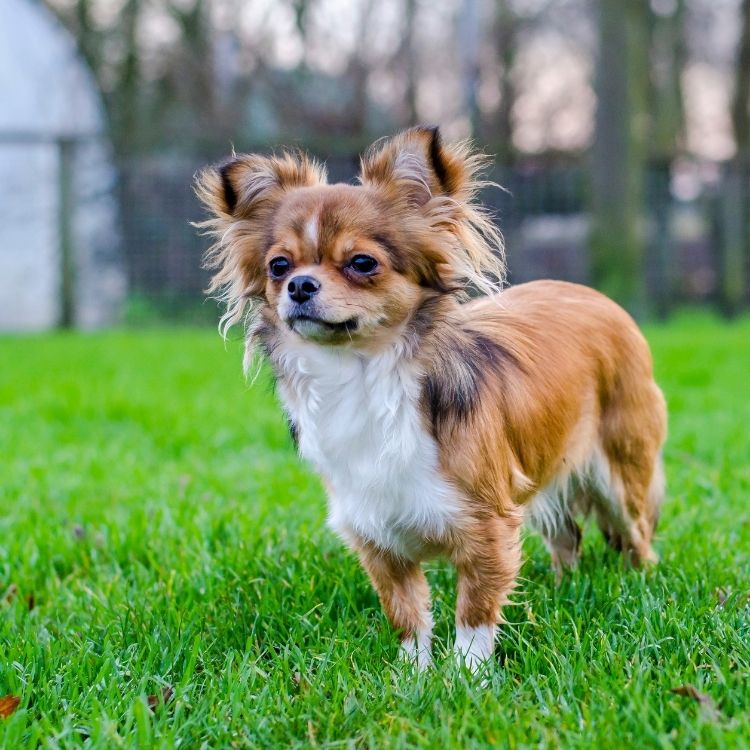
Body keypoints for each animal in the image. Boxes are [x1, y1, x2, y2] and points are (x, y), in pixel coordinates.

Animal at [195, 126, 668, 672]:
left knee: (637, 536)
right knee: (566, 536)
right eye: (278, 266)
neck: (359, 375)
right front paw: (412, 675)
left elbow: (474, 615)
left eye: (362, 263)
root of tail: (599, 298)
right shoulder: (378, 538)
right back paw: (560, 589)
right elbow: (407, 615)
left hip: (621, 473)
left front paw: (466, 677)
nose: (299, 285)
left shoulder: (487, 527)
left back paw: (642, 586)